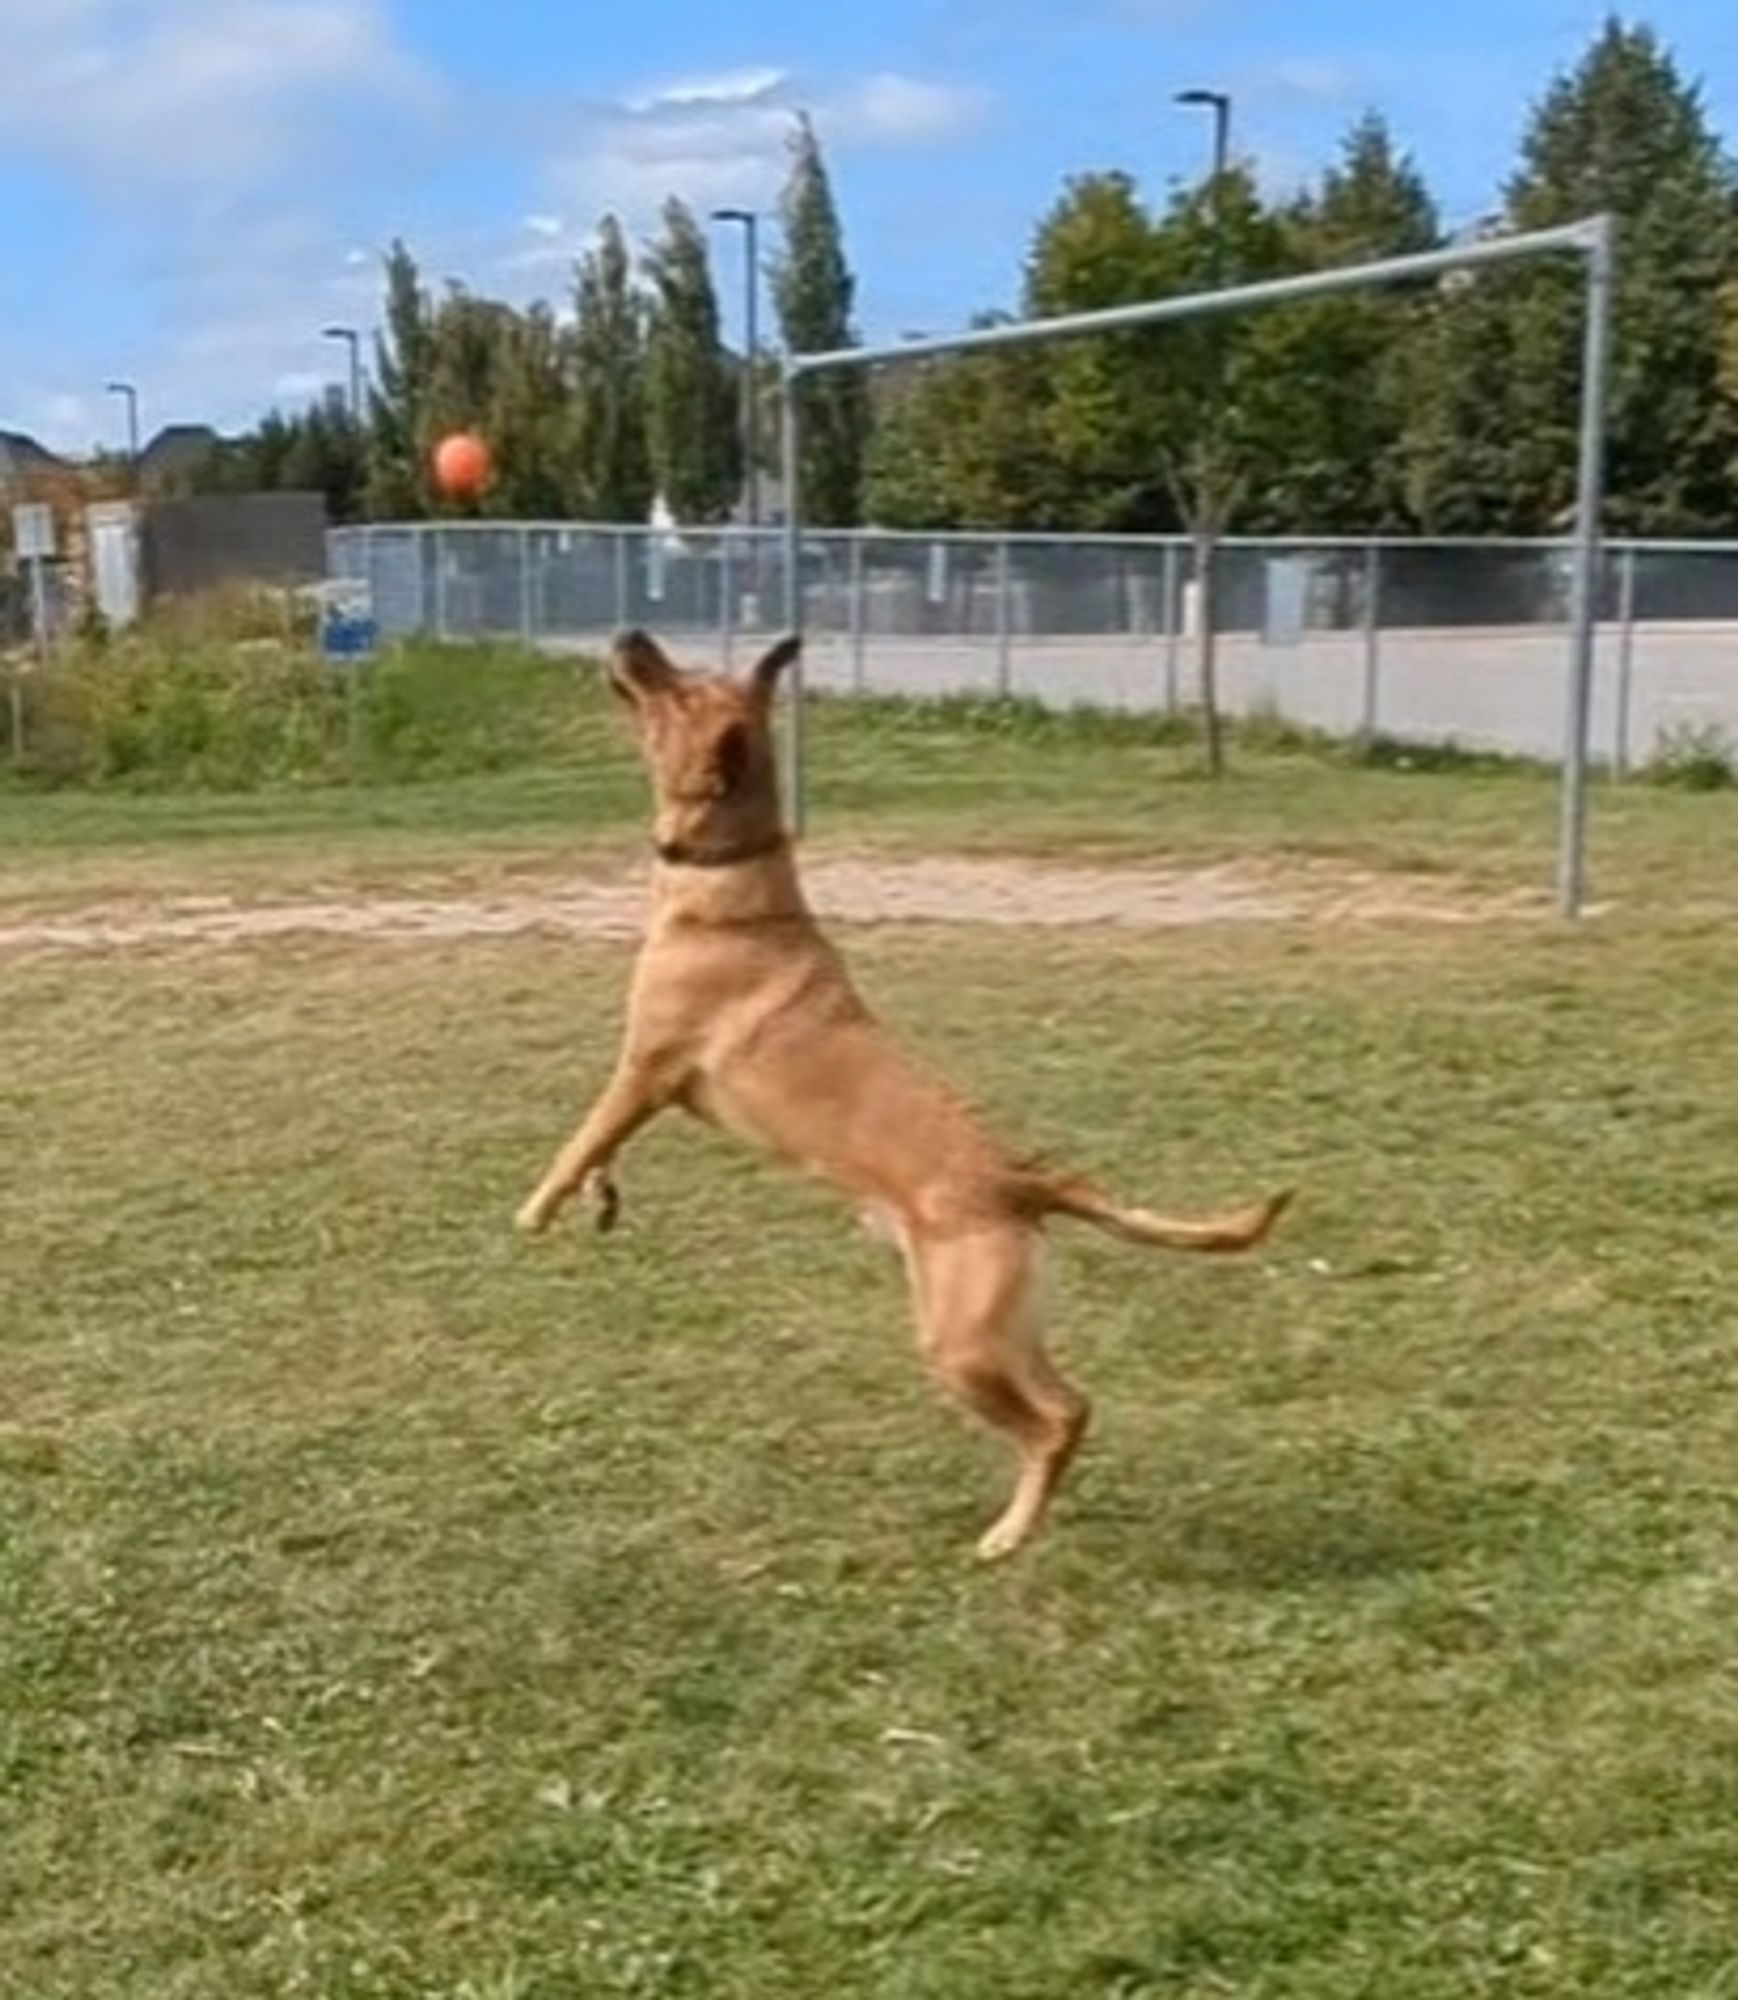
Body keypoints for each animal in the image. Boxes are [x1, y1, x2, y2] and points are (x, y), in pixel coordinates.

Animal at [516, 632, 1288, 1552]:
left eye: (683, 692)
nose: (631, 637)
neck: (731, 882)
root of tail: (1019, 1181)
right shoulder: (655, 1088)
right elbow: (604, 1147)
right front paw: (600, 1198)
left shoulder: (643, 1068)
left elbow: (578, 1138)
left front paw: (535, 1211)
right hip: (996, 1331)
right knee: (1075, 1405)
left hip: (960, 1344)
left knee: (1052, 1423)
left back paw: (1007, 1535)